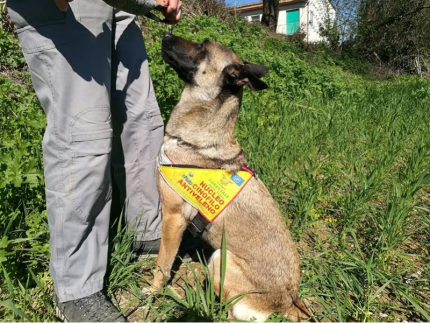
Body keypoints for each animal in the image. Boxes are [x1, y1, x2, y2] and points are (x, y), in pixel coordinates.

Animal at [149, 31, 310, 322]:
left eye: (202, 48)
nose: (165, 33)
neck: (197, 141)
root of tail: (290, 300)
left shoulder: (173, 217)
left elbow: (162, 264)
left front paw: (152, 292)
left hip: (219, 260)